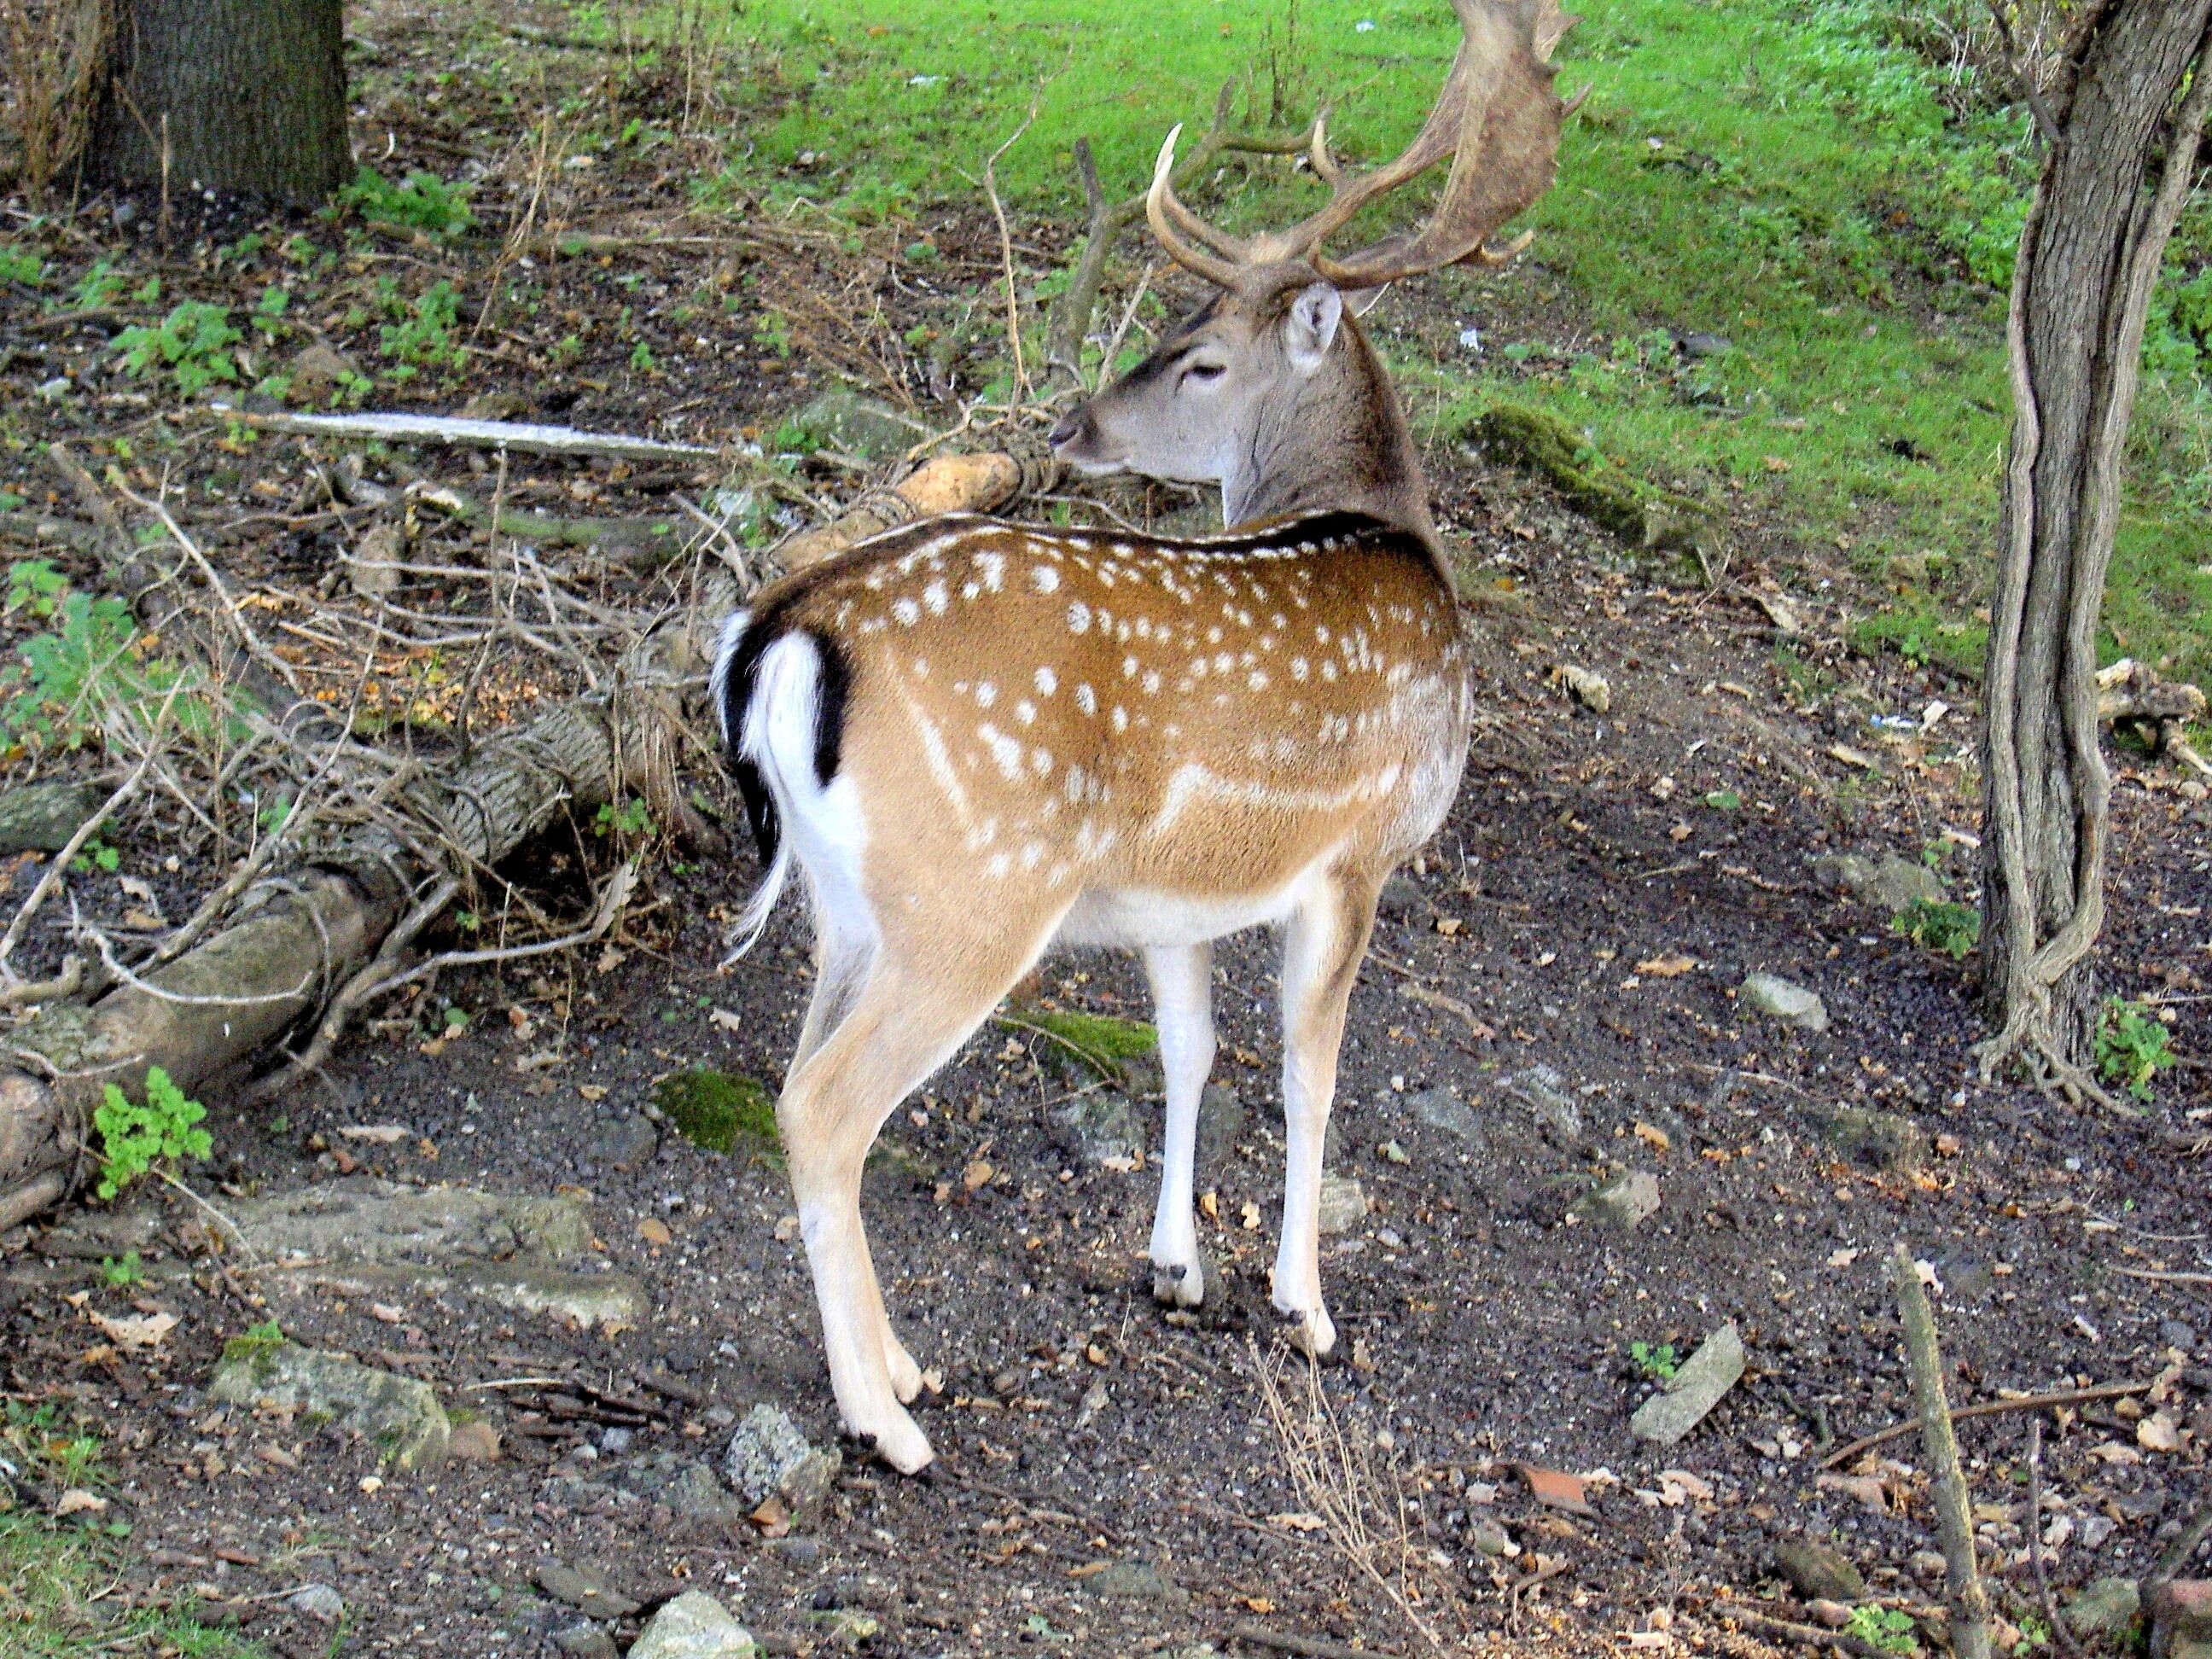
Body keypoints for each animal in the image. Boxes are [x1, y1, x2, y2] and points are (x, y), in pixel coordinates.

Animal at [707, 0, 1575, 1477]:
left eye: (1202, 349)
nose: (1072, 423)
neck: (1382, 528)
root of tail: (785, 634)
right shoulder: (1359, 854)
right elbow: (1311, 1071)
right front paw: (1304, 1304)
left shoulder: (1179, 895)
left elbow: (1193, 1051)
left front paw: (1176, 1267)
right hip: (974, 892)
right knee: (823, 1109)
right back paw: (887, 1420)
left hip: (847, 901)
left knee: (794, 1082)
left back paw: (902, 1364)